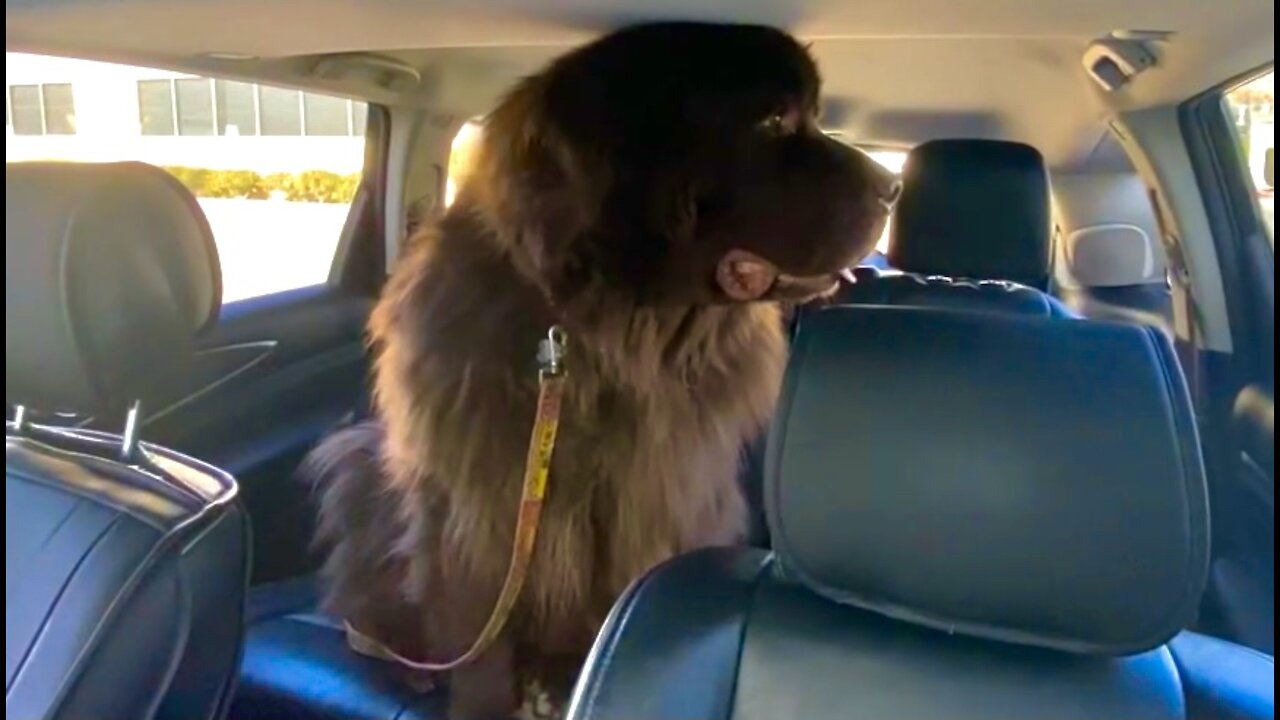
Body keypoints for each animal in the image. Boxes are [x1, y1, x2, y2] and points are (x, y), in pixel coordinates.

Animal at [305, 20, 896, 717]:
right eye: (774, 119)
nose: (893, 187)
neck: (604, 335)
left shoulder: (657, 496)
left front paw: (567, 678)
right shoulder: (475, 504)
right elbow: (480, 627)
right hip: (363, 465)